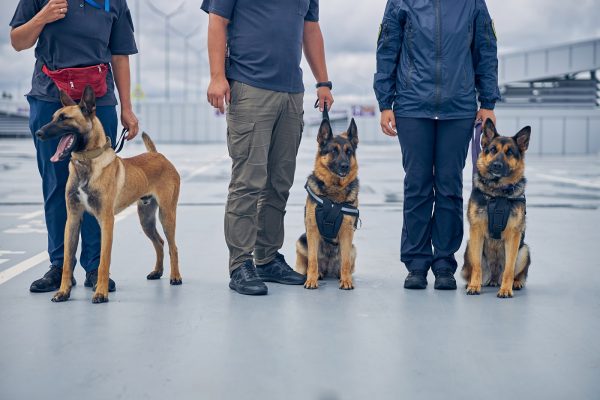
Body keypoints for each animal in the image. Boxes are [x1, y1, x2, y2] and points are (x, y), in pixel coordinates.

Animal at [34, 85, 180, 304]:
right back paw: (157, 272)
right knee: (160, 243)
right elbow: (68, 261)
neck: (86, 163)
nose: (38, 133)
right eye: (53, 117)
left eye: (64, 118)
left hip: (166, 215)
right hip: (146, 219)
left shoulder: (106, 221)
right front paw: (63, 291)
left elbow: (104, 261)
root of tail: (157, 155)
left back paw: (175, 276)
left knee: (173, 246)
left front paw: (101, 292)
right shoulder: (73, 219)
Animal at [294, 117, 356, 290]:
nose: (345, 166)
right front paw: (311, 280)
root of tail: (329, 269)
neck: (334, 191)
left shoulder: (347, 231)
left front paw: (346, 281)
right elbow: (313, 260)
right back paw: (317, 274)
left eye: (349, 152)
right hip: (301, 241)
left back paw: (342, 276)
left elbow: (345, 262)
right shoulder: (312, 229)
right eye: (333, 150)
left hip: (353, 249)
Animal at [462, 119, 532, 296]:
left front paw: (506, 289)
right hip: (469, 246)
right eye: (493, 150)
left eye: (510, 152)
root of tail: (494, 277)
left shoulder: (514, 236)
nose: (497, 165)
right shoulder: (476, 231)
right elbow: (477, 267)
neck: (498, 192)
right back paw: (473, 283)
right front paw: (474, 286)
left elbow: (509, 269)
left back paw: (515, 283)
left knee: (517, 273)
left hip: (524, 250)